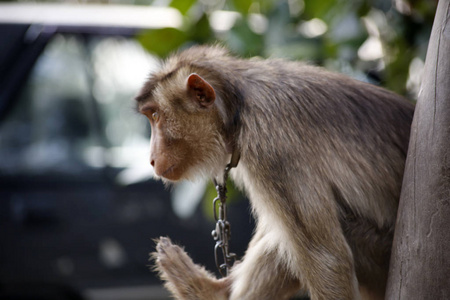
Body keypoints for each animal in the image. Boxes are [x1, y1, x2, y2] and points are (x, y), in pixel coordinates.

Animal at [134, 45, 414, 300]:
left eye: (156, 115)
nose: (151, 159)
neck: (237, 109)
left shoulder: (272, 147)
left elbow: (327, 258)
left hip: (380, 257)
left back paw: (205, 292)